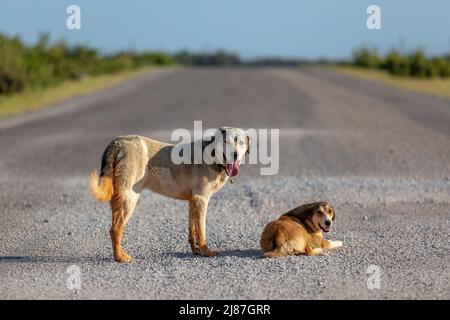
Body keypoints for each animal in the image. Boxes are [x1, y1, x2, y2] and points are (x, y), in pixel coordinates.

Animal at [88, 126, 250, 262]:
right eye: (226, 142)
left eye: (241, 143)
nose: (235, 155)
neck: (212, 155)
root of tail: (117, 142)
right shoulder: (201, 199)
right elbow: (201, 231)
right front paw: (206, 252)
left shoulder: (193, 201)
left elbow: (193, 230)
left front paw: (195, 250)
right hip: (129, 198)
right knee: (116, 229)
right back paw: (120, 257)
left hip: (119, 196)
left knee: (113, 228)